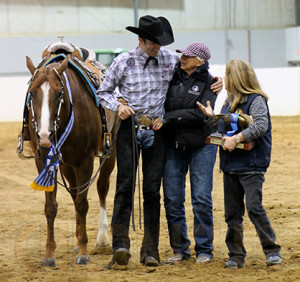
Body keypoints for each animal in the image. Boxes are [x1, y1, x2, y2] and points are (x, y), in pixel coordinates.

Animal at [25, 55, 118, 266]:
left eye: (59, 93)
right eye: (32, 93)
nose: (44, 135)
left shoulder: (85, 160)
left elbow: (83, 204)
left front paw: (83, 252)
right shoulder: (44, 162)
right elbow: (51, 207)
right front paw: (49, 254)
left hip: (110, 150)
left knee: (101, 187)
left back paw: (102, 239)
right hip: (67, 165)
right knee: (75, 192)